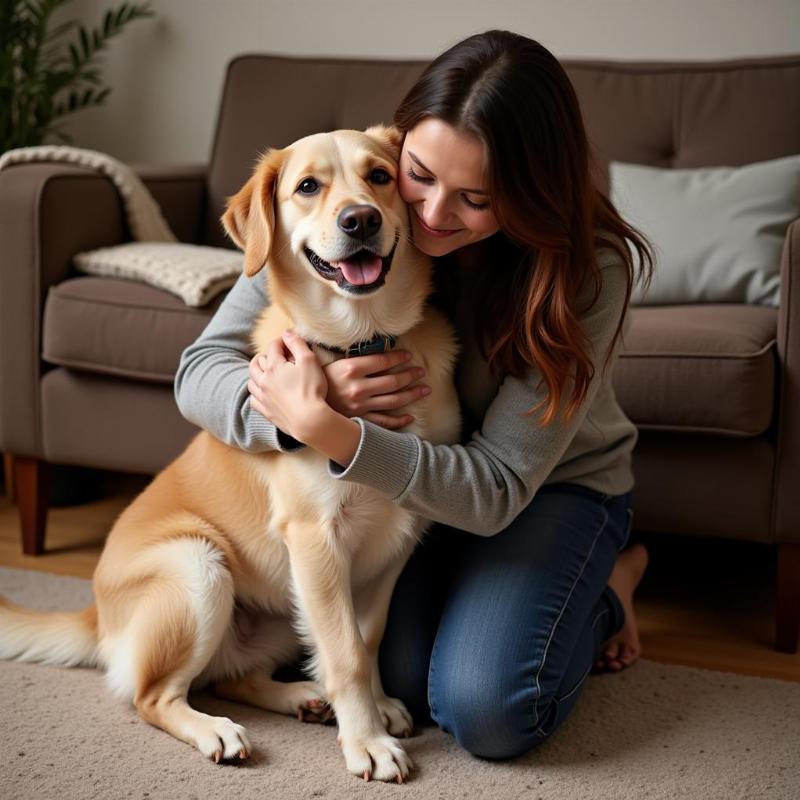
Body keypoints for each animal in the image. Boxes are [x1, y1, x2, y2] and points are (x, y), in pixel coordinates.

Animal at [0, 128, 460, 784]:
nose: (361, 220)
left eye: (380, 176)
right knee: (154, 697)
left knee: (233, 677)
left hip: (283, 606)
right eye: (308, 186)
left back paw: (302, 697)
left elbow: (365, 639)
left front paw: (374, 709)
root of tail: (96, 614)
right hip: (199, 567)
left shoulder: (393, 540)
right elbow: (345, 653)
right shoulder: (316, 538)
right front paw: (366, 741)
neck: (362, 341)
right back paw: (216, 730)